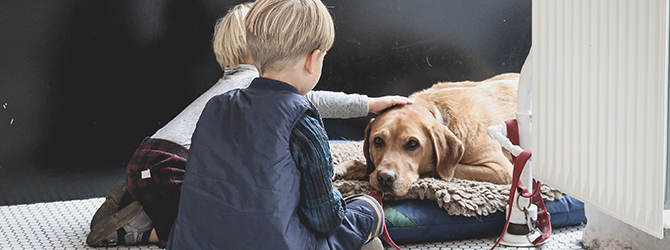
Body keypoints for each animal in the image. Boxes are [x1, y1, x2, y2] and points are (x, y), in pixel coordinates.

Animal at [336, 73, 520, 197]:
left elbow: (437, 168)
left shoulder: (502, 169)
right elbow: (368, 166)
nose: (385, 178)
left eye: (412, 144)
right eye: (378, 141)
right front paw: (348, 167)